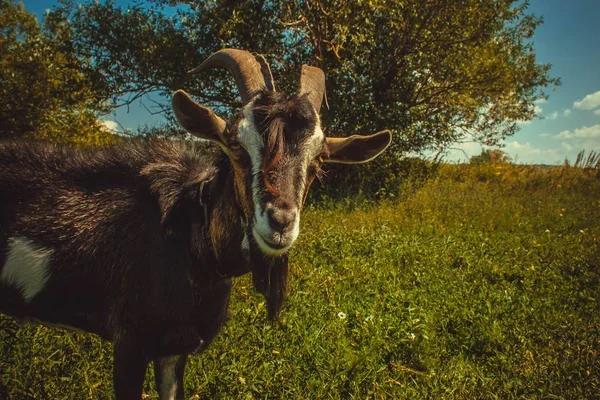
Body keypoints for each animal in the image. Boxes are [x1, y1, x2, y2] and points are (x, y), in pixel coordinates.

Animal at [0, 48, 392, 398]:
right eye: (235, 145)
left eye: (318, 160)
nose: (279, 222)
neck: (189, 239)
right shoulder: (129, 342)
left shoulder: (174, 349)